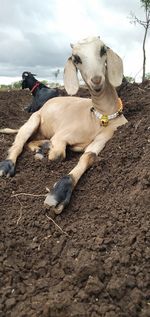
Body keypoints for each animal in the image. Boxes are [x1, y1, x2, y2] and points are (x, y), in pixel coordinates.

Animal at [0, 35, 127, 214]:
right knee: (19, 143)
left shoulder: (105, 137)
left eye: (103, 50)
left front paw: (60, 191)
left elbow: (89, 156)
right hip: (34, 120)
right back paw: (7, 165)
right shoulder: (61, 136)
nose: (96, 80)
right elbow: (58, 155)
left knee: (30, 142)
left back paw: (40, 148)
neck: (97, 118)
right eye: (76, 58)